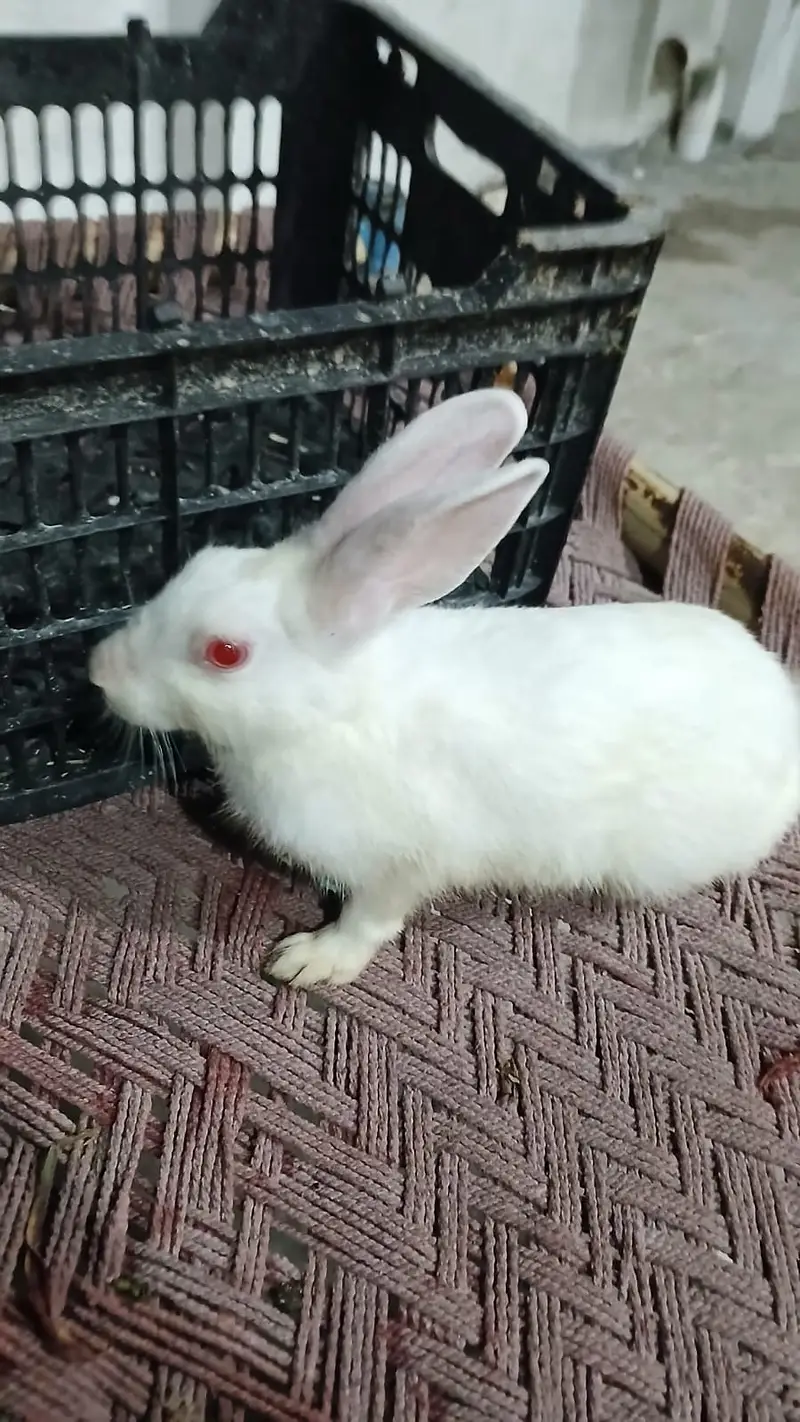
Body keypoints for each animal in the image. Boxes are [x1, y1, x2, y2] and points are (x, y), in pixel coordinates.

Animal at [89, 387, 800, 987]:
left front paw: (309, 962)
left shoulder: (406, 862)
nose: (99, 671)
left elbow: (371, 918)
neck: (330, 714)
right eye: (200, 562)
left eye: (224, 652)